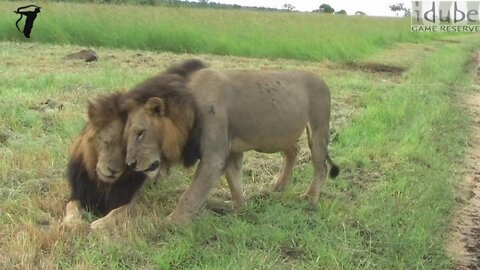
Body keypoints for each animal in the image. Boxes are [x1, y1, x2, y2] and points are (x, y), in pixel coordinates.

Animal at [122, 66, 340, 226]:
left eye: (140, 132)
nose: (130, 163)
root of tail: (322, 80)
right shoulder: (232, 152)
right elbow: (234, 183)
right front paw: (233, 206)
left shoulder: (214, 157)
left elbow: (190, 194)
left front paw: (170, 223)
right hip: (278, 136)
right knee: (294, 150)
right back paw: (279, 185)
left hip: (318, 129)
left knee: (321, 166)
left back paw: (310, 198)